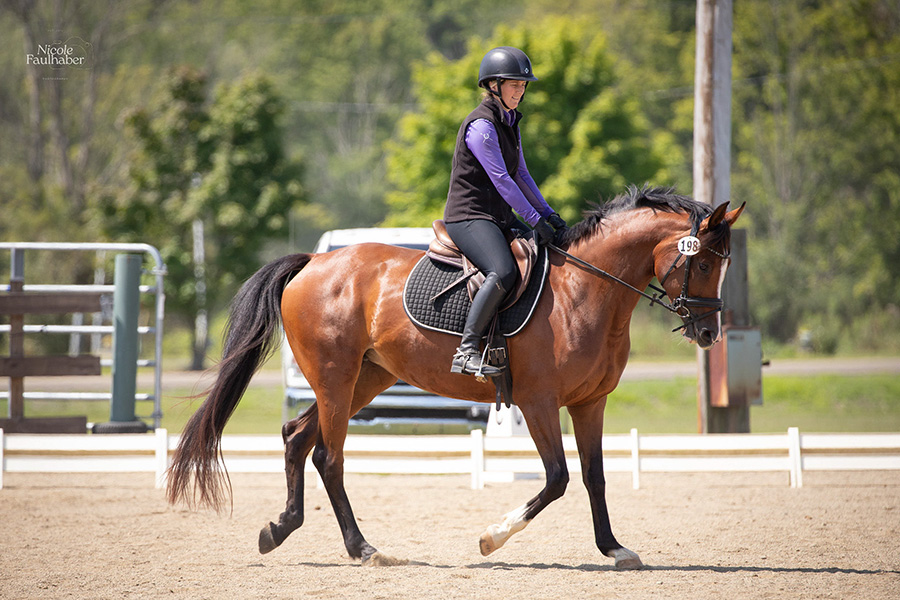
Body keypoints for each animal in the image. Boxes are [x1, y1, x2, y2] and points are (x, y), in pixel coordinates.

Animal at [165, 185, 740, 568]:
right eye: (703, 262)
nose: (709, 332)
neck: (585, 291)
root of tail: (312, 262)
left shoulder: (589, 403)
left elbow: (594, 476)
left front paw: (614, 548)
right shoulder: (537, 401)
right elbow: (557, 478)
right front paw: (492, 539)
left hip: (364, 381)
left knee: (296, 437)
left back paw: (280, 529)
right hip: (335, 378)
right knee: (328, 455)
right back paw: (362, 548)